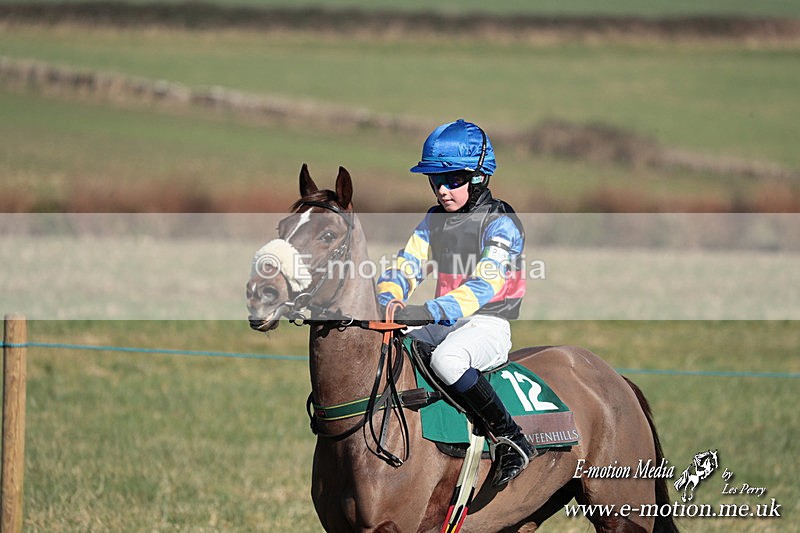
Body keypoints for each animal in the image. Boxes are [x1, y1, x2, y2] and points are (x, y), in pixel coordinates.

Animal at [246, 165, 679, 533]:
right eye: (283, 226)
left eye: (327, 235)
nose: (260, 292)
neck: (359, 416)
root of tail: (613, 377)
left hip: (622, 511)